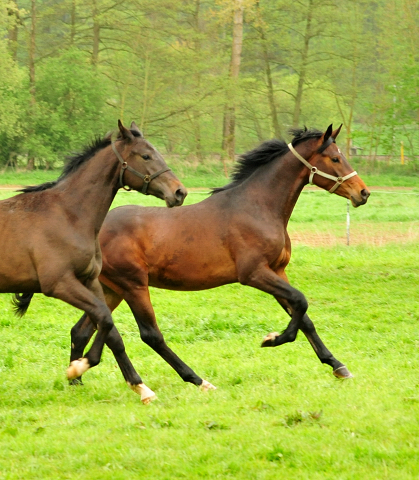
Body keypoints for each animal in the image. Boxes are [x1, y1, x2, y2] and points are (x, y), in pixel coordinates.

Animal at [4, 120, 187, 402]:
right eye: (145, 155)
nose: (179, 192)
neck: (68, 215)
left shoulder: (90, 281)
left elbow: (108, 327)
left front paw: (138, 387)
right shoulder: (60, 284)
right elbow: (105, 319)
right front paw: (78, 367)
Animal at [67, 124, 370, 402]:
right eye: (335, 158)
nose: (363, 193)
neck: (257, 207)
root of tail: (91, 228)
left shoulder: (277, 271)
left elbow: (304, 316)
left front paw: (338, 366)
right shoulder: (255, 273)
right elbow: (301, 301)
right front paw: (272, 339)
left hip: (112, 289)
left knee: (86, 329)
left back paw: (76, 376)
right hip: (133, 285)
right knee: (148, 334)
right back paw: (193, 381)